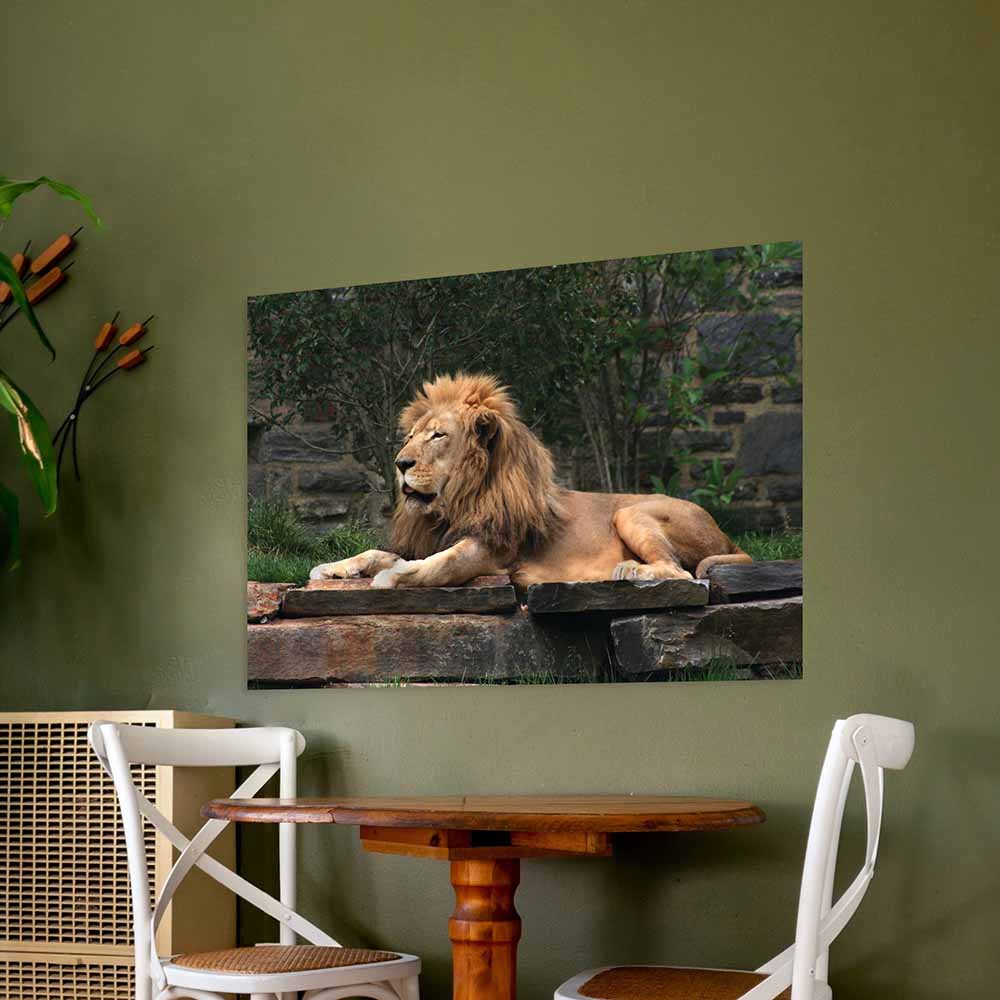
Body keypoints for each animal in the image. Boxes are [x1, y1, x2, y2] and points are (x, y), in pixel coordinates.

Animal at [310, 373, 751, 589]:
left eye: (438, 436)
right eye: (411, 436)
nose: (400, 463)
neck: (456, 503)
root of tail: (726, 536)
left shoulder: (491, 550)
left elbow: (438, 566)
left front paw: (393, 577)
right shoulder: (431, 537)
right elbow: (375, 552)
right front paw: (331, 568)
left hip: (630, 512)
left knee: (682, 572)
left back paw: (630, 570)